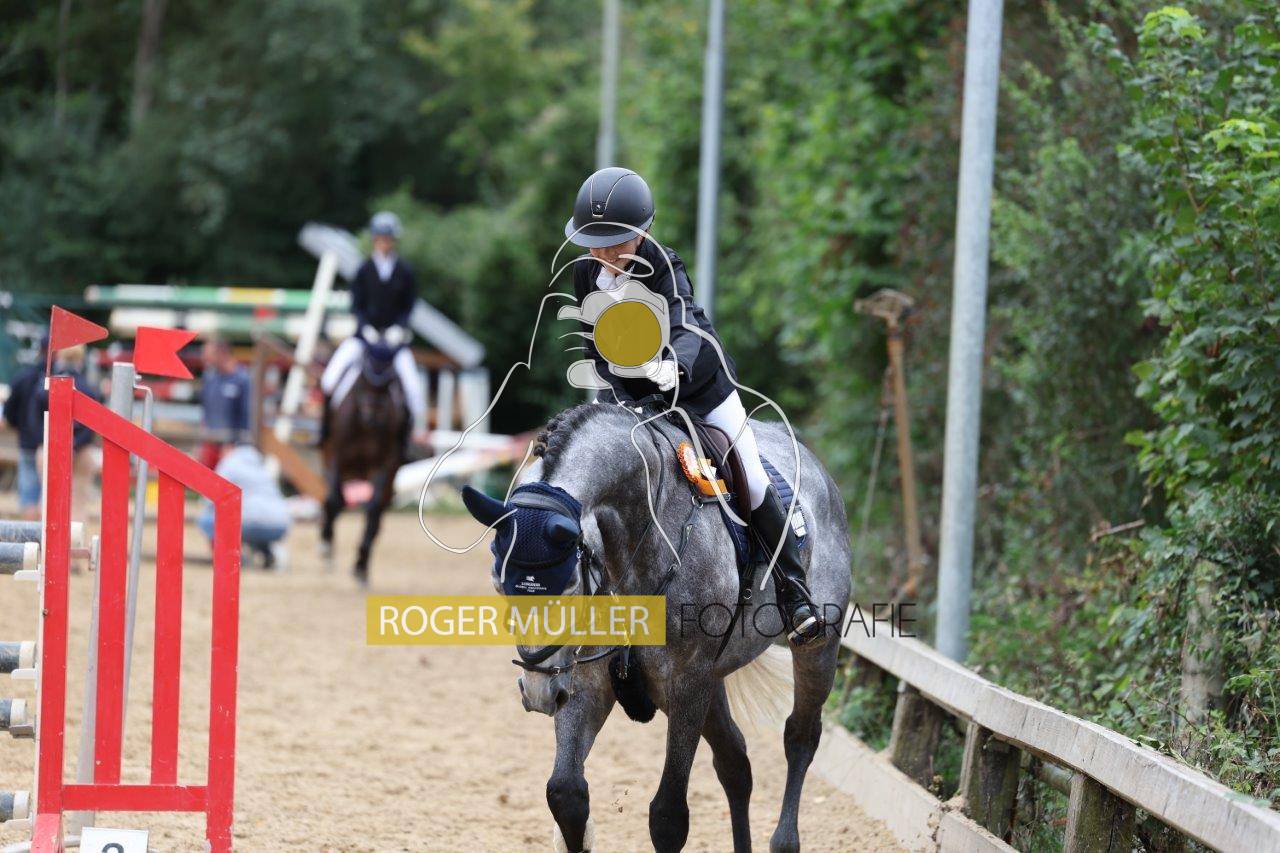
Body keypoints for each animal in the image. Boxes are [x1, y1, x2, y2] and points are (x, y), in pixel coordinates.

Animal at [319, 341, 411, 584]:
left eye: (391, 380)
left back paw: (362, 563)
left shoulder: (385, 464)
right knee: (332, 500)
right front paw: (326, 547)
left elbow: (372, 508)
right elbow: (334, 500)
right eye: (363, 376)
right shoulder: (335, 456)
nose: (373, 417)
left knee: (378, 514)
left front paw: (360, 564)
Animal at [459, 402, 851, 852]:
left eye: (571, 586)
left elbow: (668, 817)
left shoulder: (686, 685)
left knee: (800, 736)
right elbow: (566, 795)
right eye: (498, 584)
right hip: (711, 681)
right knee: (735, 763)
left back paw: (784, 839)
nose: (539, 693)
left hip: (816, 649)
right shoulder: (587, 681)